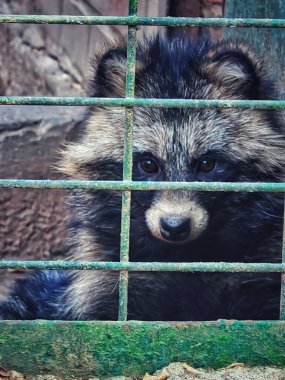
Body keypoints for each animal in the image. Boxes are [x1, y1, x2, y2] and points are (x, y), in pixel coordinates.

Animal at [0, 35, 284, 320]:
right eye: (148, 164)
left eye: (206, 164)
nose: (174, 226)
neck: (181, 254)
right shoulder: (104, 278)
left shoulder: (260, 266)